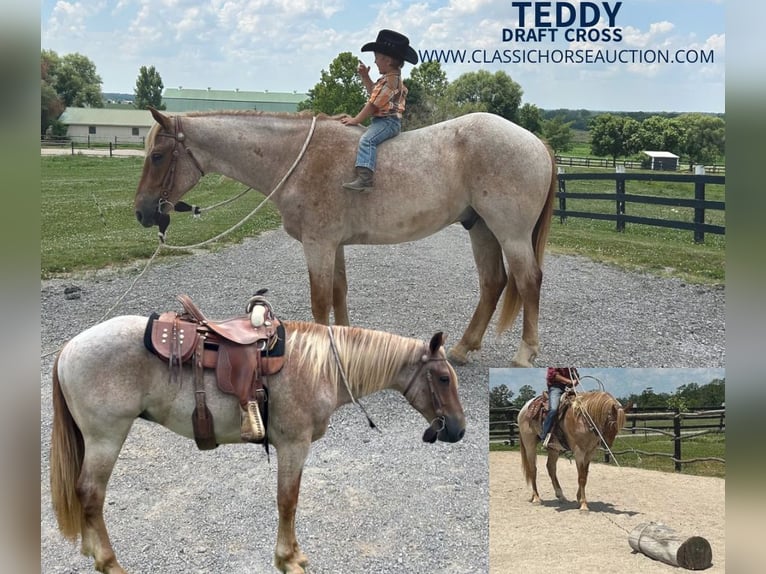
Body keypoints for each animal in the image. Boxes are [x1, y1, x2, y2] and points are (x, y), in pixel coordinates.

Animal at [51, 318, 468, 572]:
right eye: (444, 378)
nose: (458, 430)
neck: (320, 368)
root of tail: (69, 349)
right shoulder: (294, 445)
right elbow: (288, 501)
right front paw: (289, 559)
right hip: (106, 438)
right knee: (90, 494)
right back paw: (109, 563)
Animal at [135, 110, 560, 366]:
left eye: (157, 155)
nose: (142, 212)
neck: (297, 159)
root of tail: (536, 142)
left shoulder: (319, 245)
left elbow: (321, 301)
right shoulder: (333, 246)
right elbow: (339, 295)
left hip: (511, 234)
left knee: (528, 281)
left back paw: (525, 354)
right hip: (482, 229)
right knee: (493, 283)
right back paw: (461, 348)